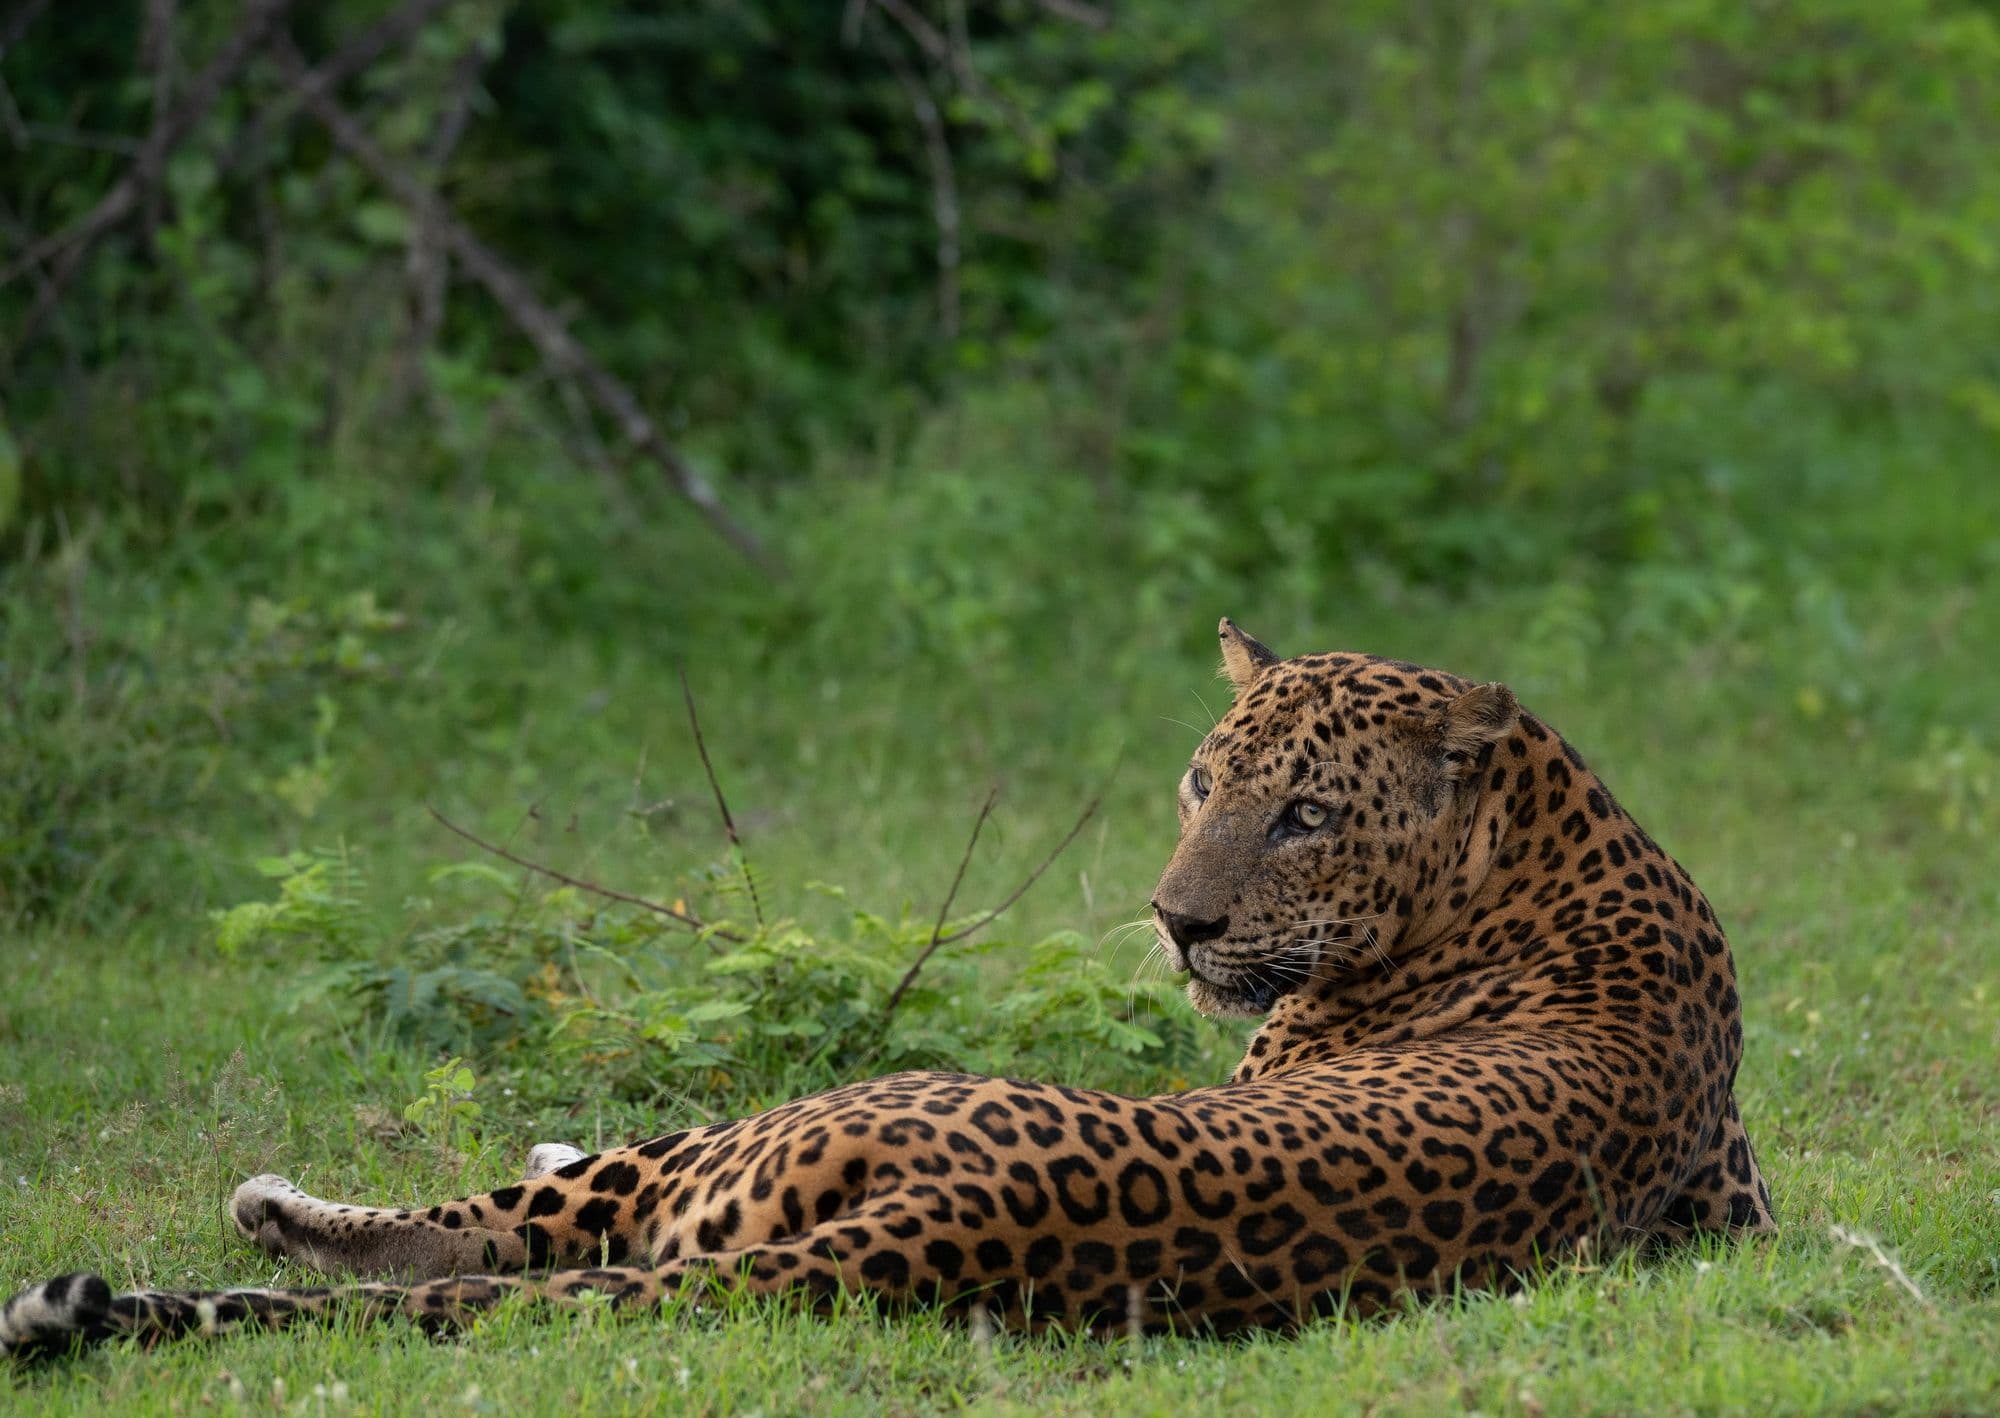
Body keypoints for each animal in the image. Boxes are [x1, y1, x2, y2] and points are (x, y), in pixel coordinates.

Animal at [2, 619, 1774, 1360]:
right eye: (1202, 783)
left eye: (1305, 816)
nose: (1173, 921)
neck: (1552, 849)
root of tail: (974, 1215)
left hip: (758, 1132)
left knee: (484, 1233)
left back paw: (257, 1216)